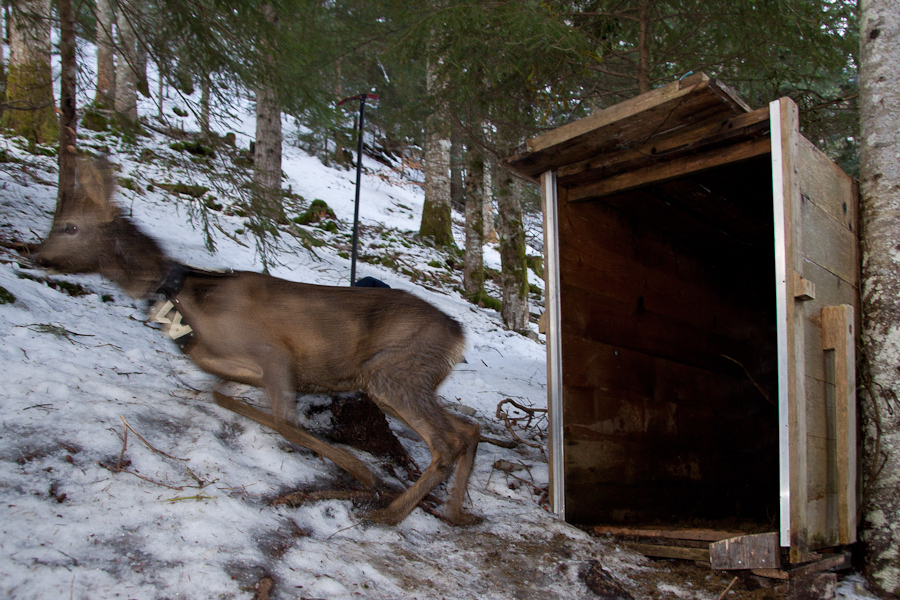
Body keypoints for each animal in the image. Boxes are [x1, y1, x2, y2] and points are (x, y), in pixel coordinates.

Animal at [37, 159, 482, 524]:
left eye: (69, 226)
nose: (36, 254)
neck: (187, 301)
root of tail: (459, 335)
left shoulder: (273, 353)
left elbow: (285, 422)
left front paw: (362, 474)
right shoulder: (236, 369)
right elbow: (225, 398)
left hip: (391, 372)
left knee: (446, 442)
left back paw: (390, 514)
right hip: (409, 380)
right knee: (469, 429)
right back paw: (455, 513)